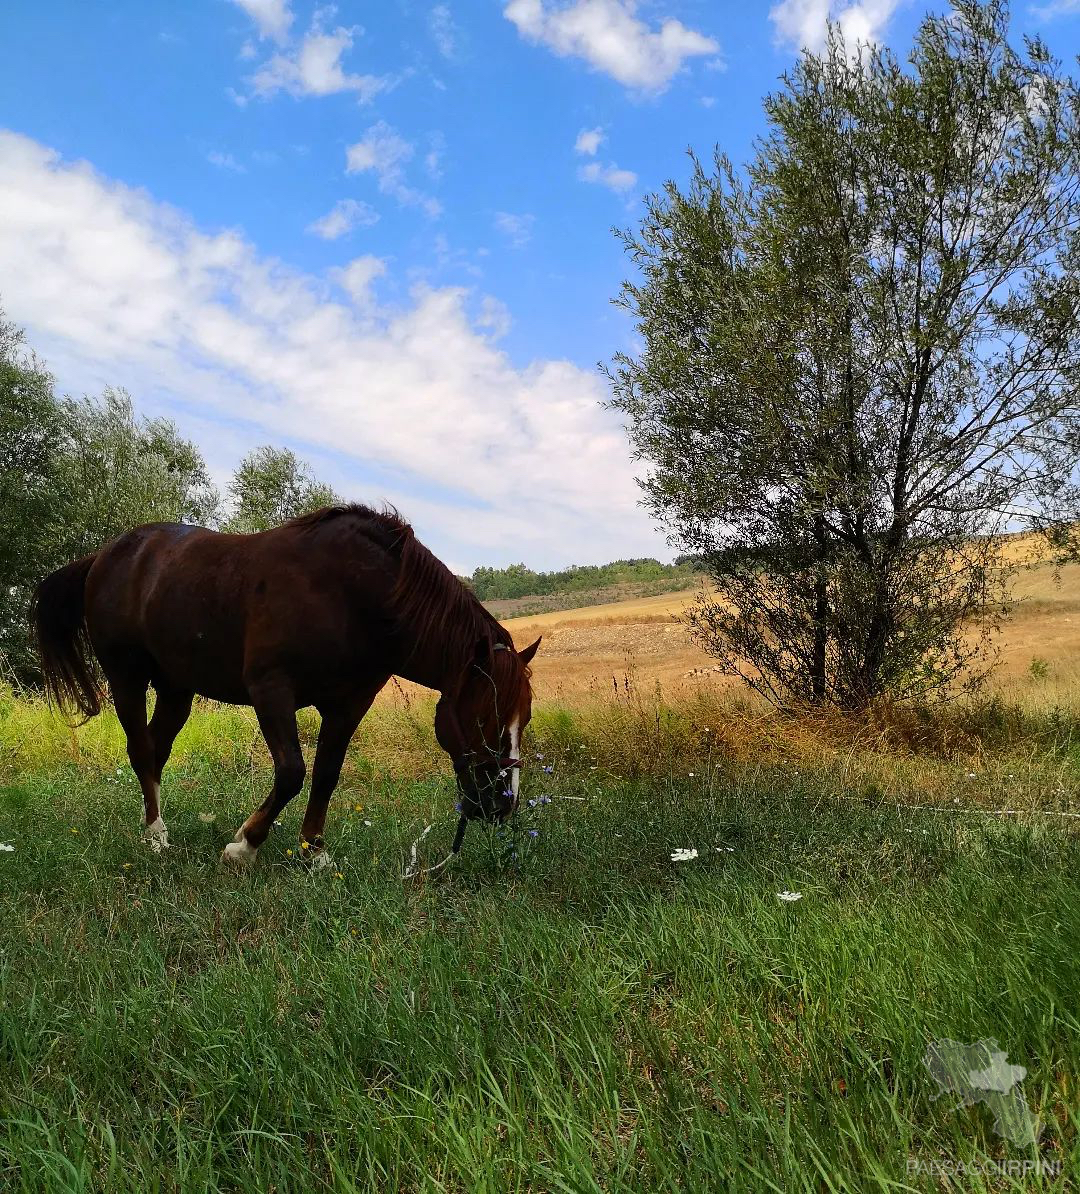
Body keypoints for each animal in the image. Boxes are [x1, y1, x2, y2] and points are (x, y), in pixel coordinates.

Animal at [32, 506, 539, 869]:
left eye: (526, 718)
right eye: (486, 716)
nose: (503, 804)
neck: (352, 593)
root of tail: (104, 556)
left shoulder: (349, 704)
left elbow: (327, 774)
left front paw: (315, 851)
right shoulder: (271, 690)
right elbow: (293, 772)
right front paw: (243, 847)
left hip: (177, 688)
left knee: (156, 750)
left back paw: (151, 825)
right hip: (127, 679)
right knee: (140, 749)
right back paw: (157, 837)